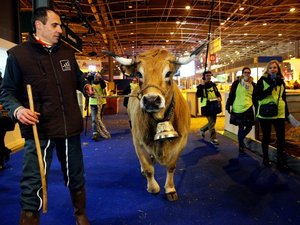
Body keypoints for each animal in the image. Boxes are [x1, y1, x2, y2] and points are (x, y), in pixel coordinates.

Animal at [104, 45, 205, 200]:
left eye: (168, 73)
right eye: (139, 74)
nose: (151, 100)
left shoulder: (181, 143)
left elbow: (171, 167)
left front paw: (170, 189)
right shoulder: (138, 142)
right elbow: (148, 168)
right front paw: (152, 187)